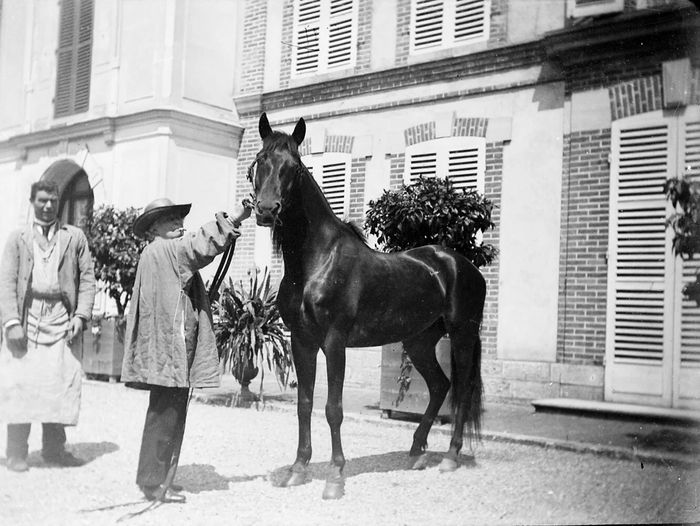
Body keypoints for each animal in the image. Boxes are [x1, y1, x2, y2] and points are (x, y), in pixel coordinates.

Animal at [249, 113, 486, 499]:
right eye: (259, 162)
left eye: (294, 167)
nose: (267, 211)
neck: (316, 261)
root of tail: (460, 264)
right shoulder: (302, 341)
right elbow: (304, 404)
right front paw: (298, 469)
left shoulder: (334, 341)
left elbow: (333, 408)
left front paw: (335, 476)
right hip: (418, 341)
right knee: (439, 386)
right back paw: (416, 452)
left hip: (462, 335)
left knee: (461, 389)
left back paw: (450, 457)